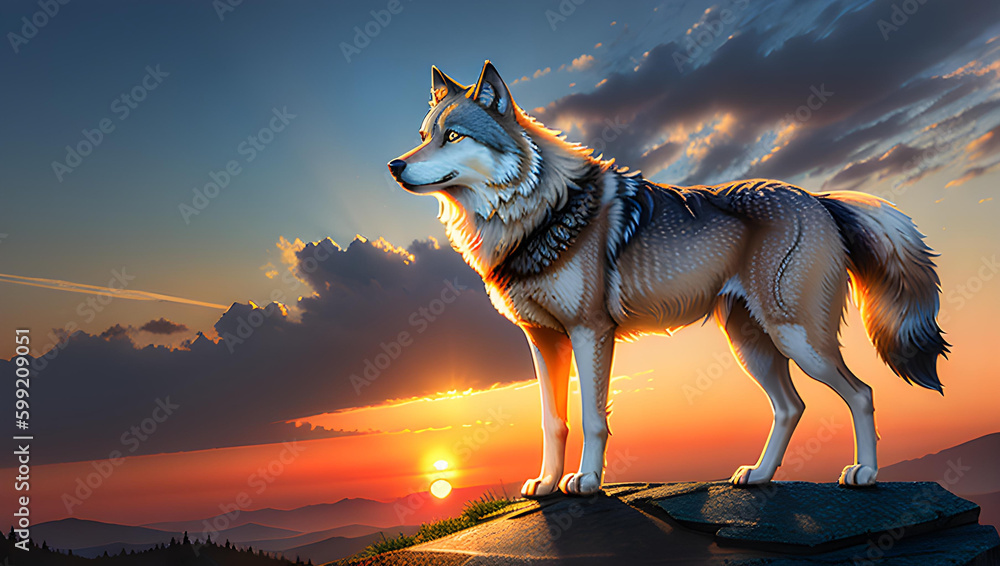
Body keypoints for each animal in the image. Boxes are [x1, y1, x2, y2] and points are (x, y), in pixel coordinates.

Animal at [388, 61, 948, 497]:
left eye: (453, 136)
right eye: (423, 137)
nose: (394, 166)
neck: (534, 213)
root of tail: (819, 199)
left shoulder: (591, 331)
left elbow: (592, 418)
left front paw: (585, 482)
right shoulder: (543, 340)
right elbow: (552, 421)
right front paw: (546, 484)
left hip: (798, 340)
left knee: (862, 392)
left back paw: (865, 474)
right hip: (752, 345)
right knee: (792, 407)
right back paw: (760, 475)